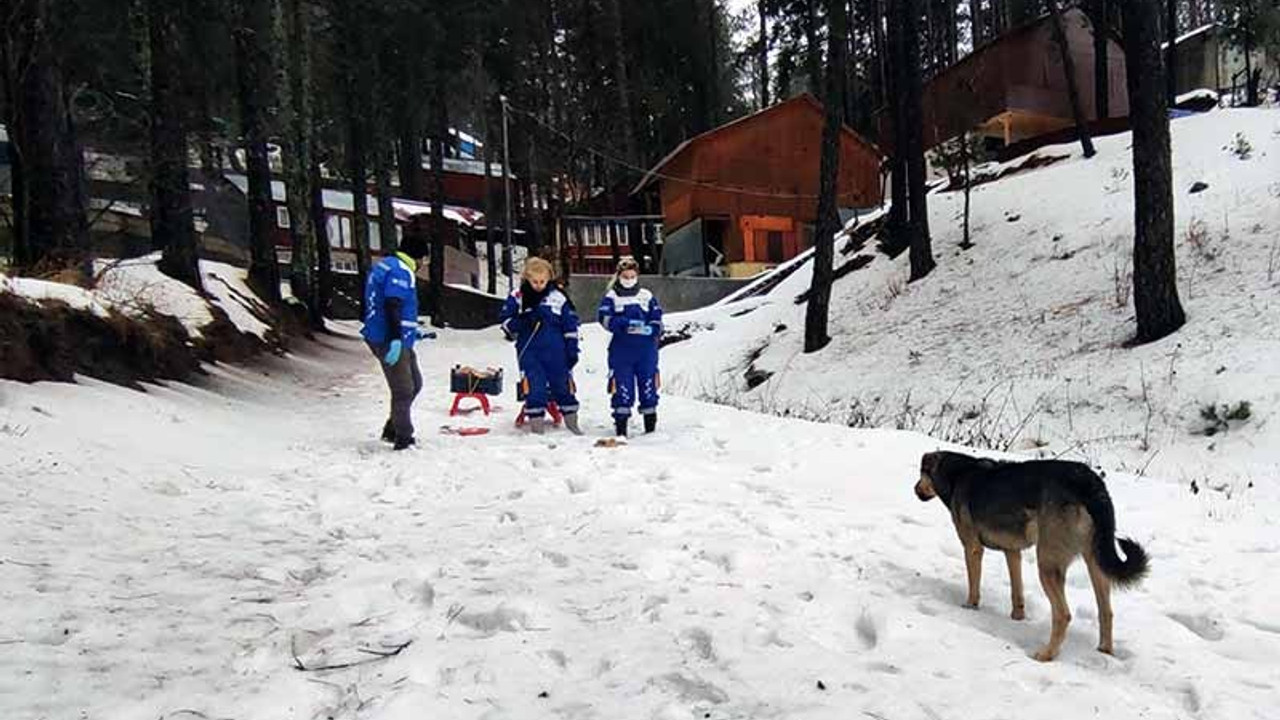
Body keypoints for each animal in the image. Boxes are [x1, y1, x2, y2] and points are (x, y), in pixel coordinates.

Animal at [916, 450, 1146, 661]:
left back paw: (1046, 654)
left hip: (1047, 563)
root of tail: (1091, 485)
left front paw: (969, 606)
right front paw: (1017, 617)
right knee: (1106, 611)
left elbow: (974, 585)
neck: (956, 473)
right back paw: (1104, 651)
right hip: (1096, 560)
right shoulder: (1012, 551)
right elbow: (1017, 591)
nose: (915, 489)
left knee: (1063, 614)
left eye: (921, 474)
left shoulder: (972, 547)